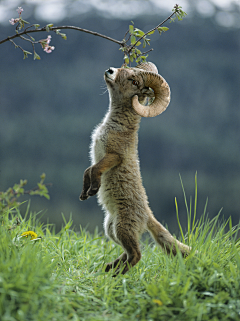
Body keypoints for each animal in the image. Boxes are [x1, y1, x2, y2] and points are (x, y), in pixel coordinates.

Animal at [79, 61, 190, 274]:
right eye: (124, 68)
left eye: (134, 80)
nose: (110, 70)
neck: (112, 126)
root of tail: (147, 213)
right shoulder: (97, 154)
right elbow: (87, 171)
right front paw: (84, 192)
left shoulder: (114, 156)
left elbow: (95, 170)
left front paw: (94, 189)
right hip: (111, 230)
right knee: (128, 253)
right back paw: (110, 269)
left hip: (122, 229)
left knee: (137, 255)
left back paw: (117, 275)